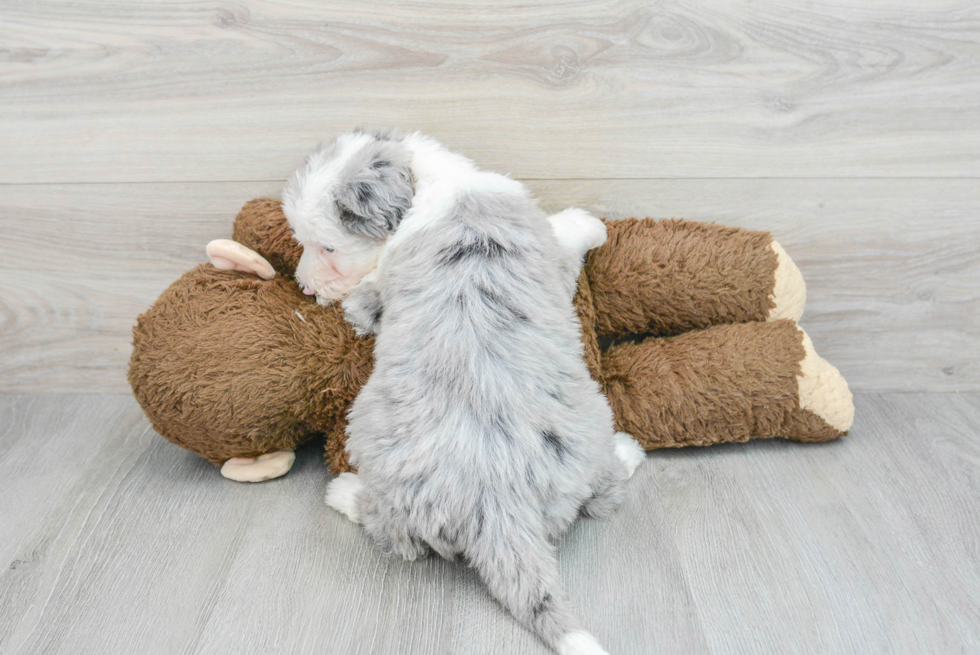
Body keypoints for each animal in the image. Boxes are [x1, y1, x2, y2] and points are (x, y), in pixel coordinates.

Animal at [284, 129, 648, 655]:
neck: (430, 181)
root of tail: (495, 498)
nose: (304, 288)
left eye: (328, 247)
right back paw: (344, 492)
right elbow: (564, 233)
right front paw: (592, 224)